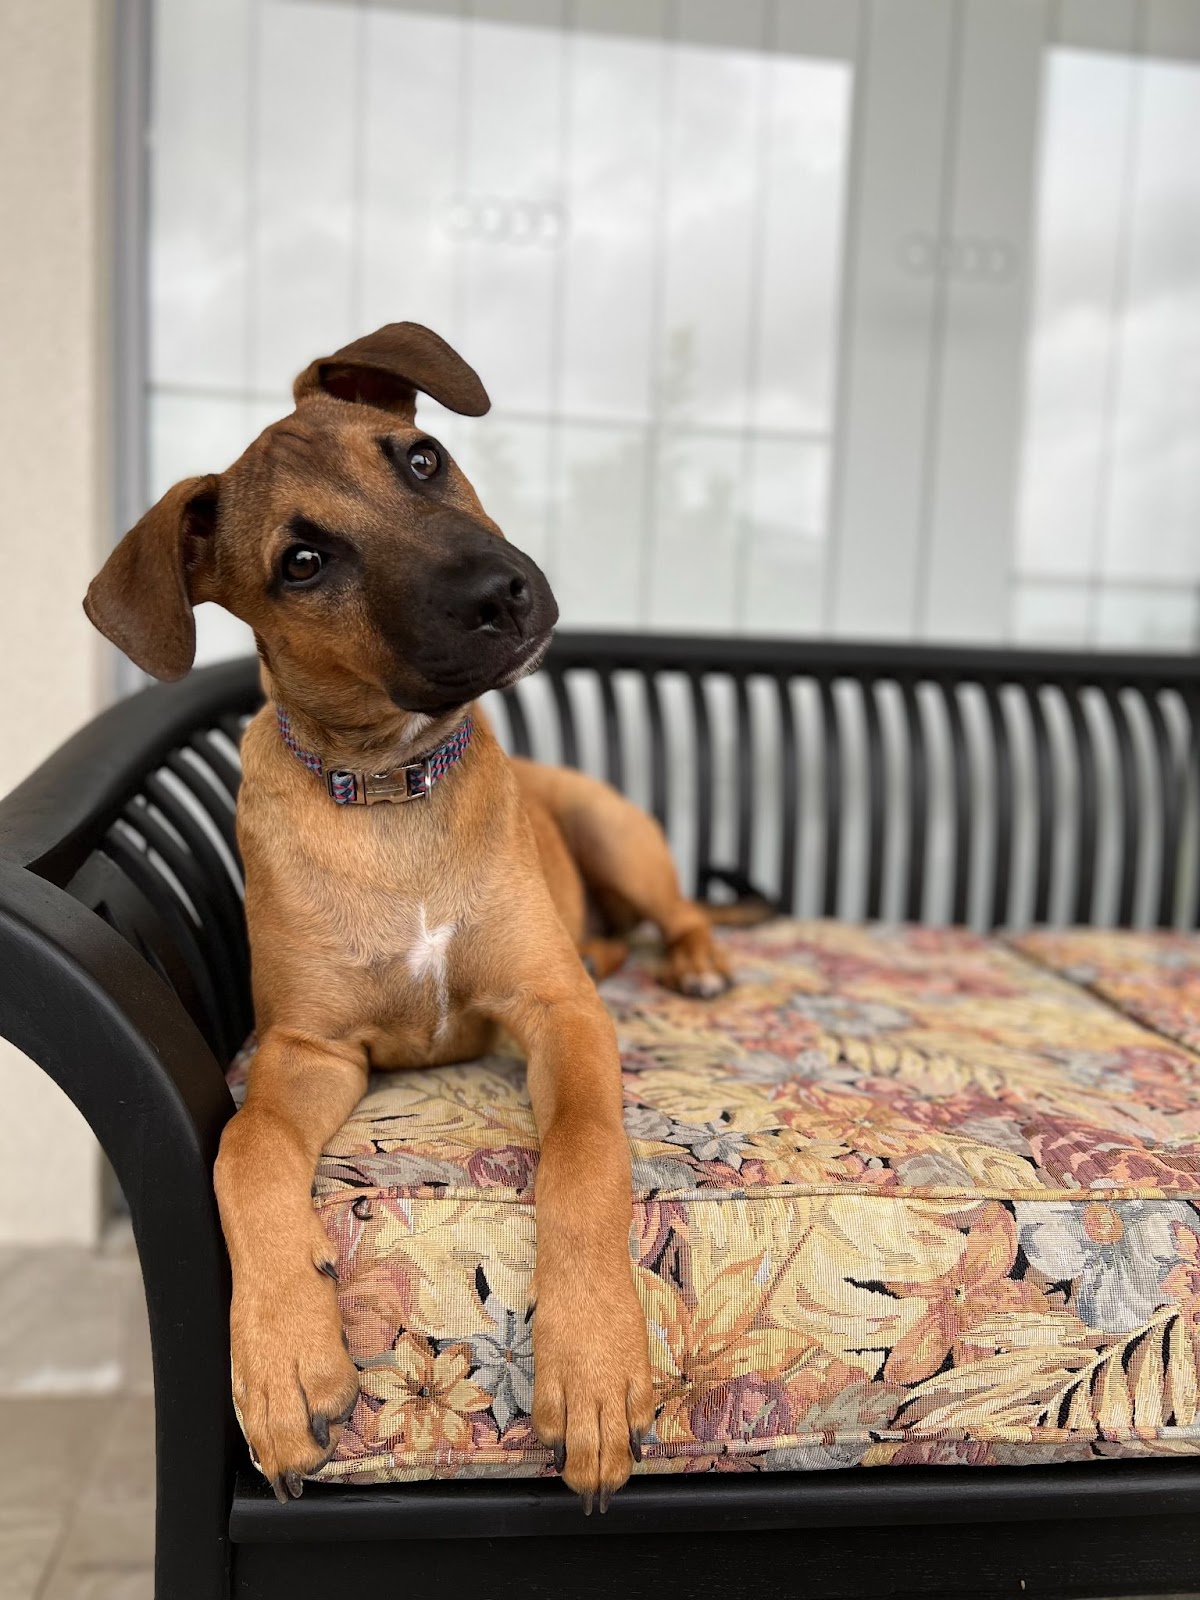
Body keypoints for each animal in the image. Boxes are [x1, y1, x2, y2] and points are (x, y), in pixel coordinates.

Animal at [84, 321, 729, 1510]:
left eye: (420, 460)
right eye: (302, 562)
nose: (503, 594)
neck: (394, 792)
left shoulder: (558, 1008)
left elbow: (584, 1154)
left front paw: (594, 1363)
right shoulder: (309, 1050)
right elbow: (242, 1147)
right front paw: (282, 1358)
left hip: (612, 821)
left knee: (676, 911)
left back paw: (695, 959)